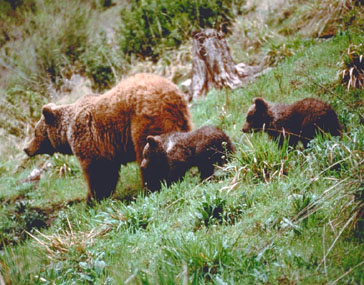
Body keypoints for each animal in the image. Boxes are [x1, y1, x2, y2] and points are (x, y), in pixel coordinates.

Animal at [24, 74, 193, 202]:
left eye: (35, 133)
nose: (26, 148)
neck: (66, 132)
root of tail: (171, 95)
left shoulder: (90, 140)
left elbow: (99, 172)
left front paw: (92, 200)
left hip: (144, 121)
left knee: (150, 157)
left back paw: (150, 188)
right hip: (182, 120)